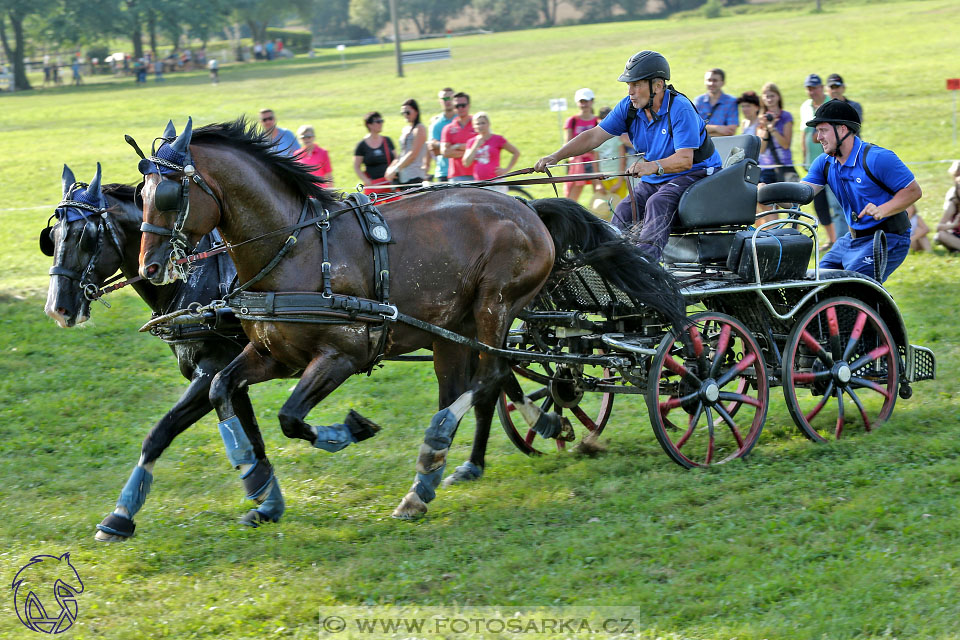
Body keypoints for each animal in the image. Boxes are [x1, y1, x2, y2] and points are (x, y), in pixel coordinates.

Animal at [42, 161, 304, 540]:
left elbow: (159, 433)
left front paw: (121, 514)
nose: (56, 308)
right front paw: (267, 501)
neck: (196, 279)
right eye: (52, 238)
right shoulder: (232, 376)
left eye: (85, 237)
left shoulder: (212, 371)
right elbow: (252, 438)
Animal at [137, 117, 688, 520]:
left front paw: (349, 430)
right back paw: (431, 479)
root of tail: (529, 211)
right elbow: (221, 391)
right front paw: (256, 483)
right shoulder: (271, 354)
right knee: (471, 385)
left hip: (494, 306)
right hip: (454, 329)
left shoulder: (343, 354)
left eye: (167, 195)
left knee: (490, 376)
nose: (151, 268)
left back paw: (452, 451)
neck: (296, 248)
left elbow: (291, 418)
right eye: (140, 194)